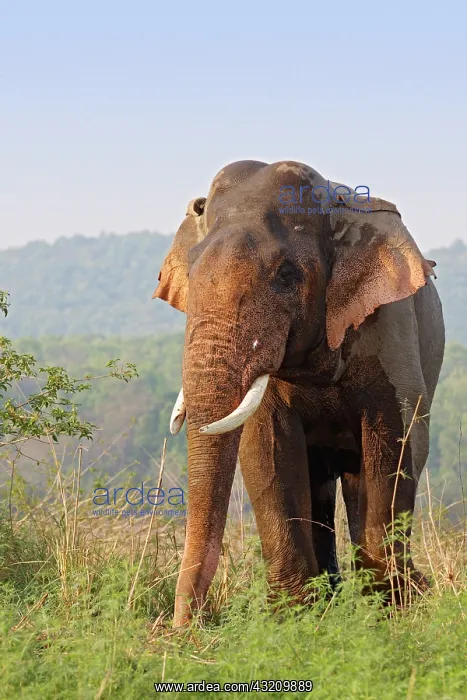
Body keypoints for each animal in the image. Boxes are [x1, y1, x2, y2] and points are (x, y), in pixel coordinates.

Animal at [153, 160, 445, 628]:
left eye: (286, 276)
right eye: (191, 274)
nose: (182, 629)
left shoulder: (390, 324)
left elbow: (396, 438)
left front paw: (394, 611)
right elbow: (267, 449)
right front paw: (294, 617)